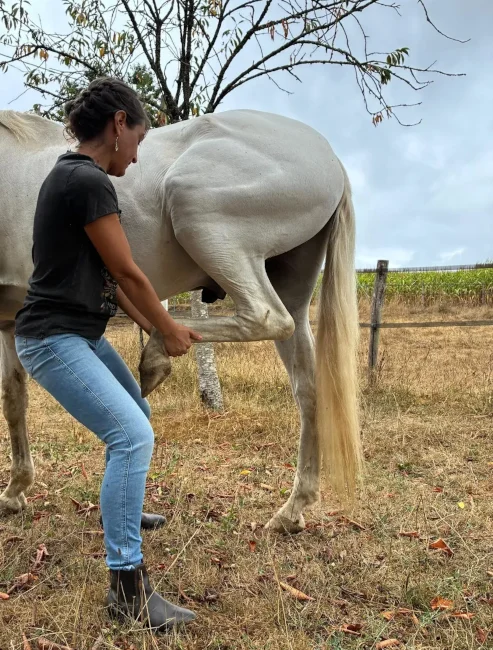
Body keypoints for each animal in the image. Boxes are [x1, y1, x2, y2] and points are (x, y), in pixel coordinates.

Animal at [0, 108, 361, 532]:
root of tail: (330, 159)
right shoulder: (9, 321)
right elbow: (14, 399)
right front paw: (14, 491)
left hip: (200, 216)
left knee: (265, 316)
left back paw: (157, 353)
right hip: (293, 287)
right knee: (308, 390)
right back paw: (292, 510)